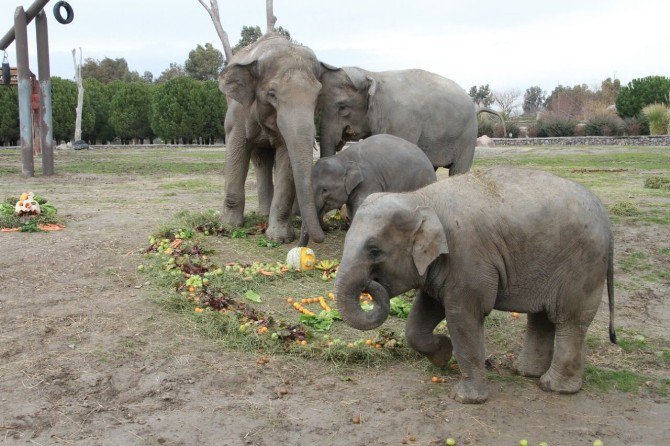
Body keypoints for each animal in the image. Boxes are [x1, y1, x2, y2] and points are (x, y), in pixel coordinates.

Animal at [219, 34, 332, 244]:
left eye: (319, 96)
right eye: (272, 95)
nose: (321, 235)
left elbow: (286, 158)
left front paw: (279, 239)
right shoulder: (238, 112)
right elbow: (237, 147)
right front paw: (229, 227)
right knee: (260, 159)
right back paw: (261, 214)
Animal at [318, 66, 504, 174]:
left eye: (342, 107)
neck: (372, 75)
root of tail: (475, 107)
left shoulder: (401, 120)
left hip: (467, 136)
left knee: (458, 170)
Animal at [336, 167, 620, 404]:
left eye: (374, 251)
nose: (371, 285)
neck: (420, 198)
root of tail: (606, 219)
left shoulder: (467, 257)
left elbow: (463, 316)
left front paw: (464, 399)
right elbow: (423, 314)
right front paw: (443, 355)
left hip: (582, 266)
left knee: (569, 321)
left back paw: (553, 387)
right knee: (542, 317)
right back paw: (525, 373)